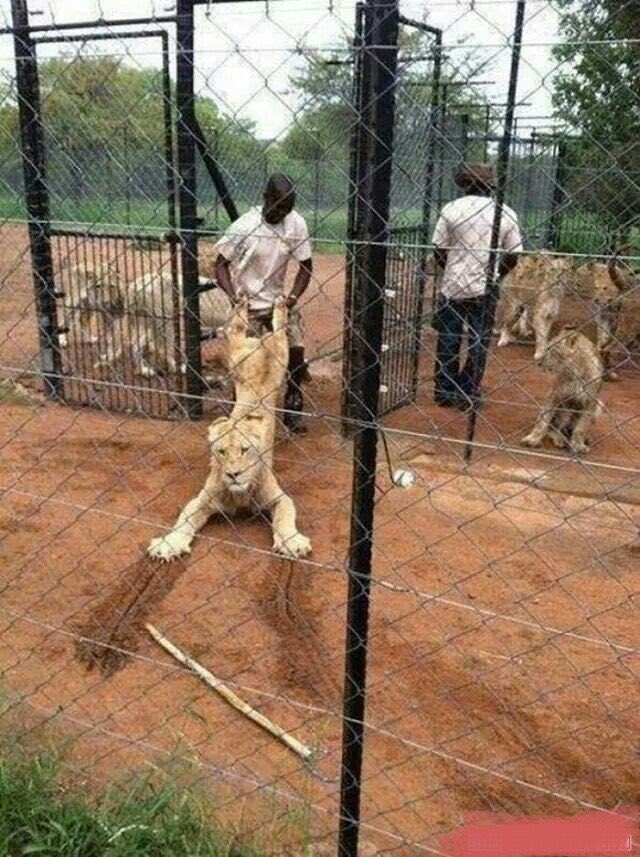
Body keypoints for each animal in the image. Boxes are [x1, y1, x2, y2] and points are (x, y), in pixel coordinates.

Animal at [147, 297, 312, 562]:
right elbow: (183, 521)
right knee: (235, 329)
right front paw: (169, 543)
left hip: (280, 356)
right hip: (236, 358)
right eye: (221, 452)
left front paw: (292, 542)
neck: (239, 493)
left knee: (279, 332)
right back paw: (242, 304)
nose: (234, 474)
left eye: (245, 450)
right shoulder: (202, 500)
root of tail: (259, 342)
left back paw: (278, 308)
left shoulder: (279, 498)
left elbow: (285, 517)